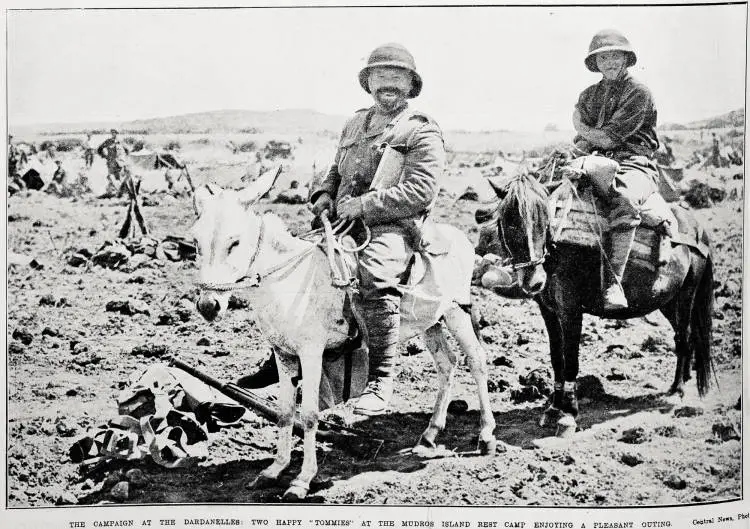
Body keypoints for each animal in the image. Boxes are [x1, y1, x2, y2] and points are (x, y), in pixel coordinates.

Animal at [488, 173, 716, 438]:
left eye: (544, 220)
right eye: (509, 222)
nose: (534, 281)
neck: (559, 252)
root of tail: (699, 228)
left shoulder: (571, 312)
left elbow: (570, 360)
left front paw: (568, 414)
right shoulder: (549, 312)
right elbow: (556, 358)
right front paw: (553, 409)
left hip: (687, 295)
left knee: (684, 337)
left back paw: (677, 389)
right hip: (668, 300)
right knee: (685, 335)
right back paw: (685, 378)